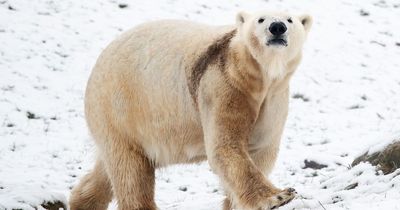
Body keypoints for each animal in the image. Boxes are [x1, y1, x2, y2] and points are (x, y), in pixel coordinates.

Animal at [69, 11, 312, 210]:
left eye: (290, 19)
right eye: (261, 19)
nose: (277, 27)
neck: (258, 76)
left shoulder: (274, 97)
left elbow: (261, 147)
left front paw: (234, 203)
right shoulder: (222, 86)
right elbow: (225, 146)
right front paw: (280, 196)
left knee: (107, 169)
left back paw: (82, 202)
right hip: (120, 107)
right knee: (131, 171)